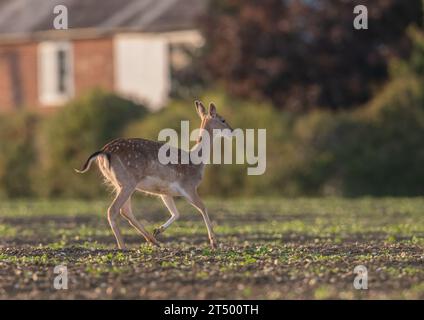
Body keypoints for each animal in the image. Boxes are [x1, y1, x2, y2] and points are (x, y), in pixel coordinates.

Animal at [77, 102, 235, 250]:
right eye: (223, 119)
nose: (232, 131)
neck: (197, 162)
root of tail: (104, 152)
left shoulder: (165, 192)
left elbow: (176, 213)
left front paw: (158, 230)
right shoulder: (188, 186)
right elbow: (203, 207)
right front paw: (214, 243)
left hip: (120, 183)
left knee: (125, 210)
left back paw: (154, 241)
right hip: (128, 182)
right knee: (114, 210)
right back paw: (124, 247)